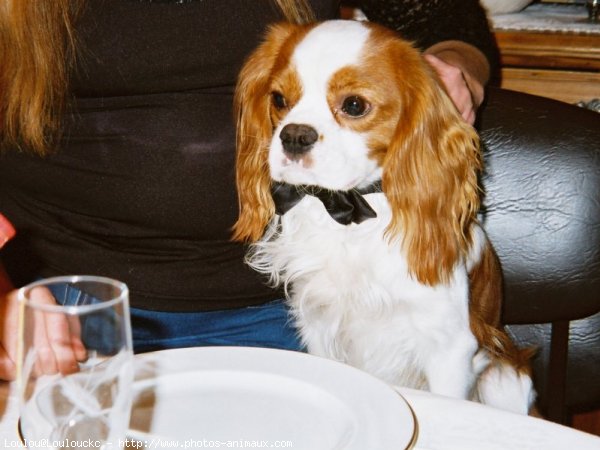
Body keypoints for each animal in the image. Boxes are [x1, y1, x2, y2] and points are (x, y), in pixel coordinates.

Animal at [231, 21, 536, 414]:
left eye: (354, 105)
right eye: (279, 99)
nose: (295, 135)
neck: (349, 214)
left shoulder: (449, 350)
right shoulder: (320, 328)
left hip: (503, 377)